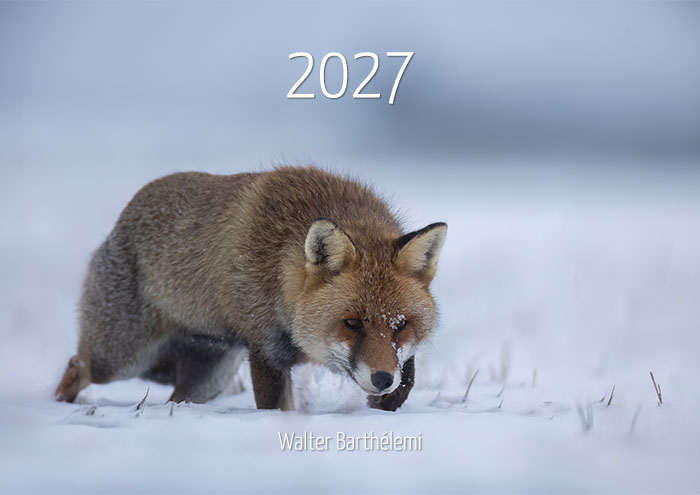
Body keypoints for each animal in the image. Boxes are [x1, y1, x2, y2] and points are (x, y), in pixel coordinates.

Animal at [55, 166, 446, 411]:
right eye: (351, 323)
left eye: (401, 325)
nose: (381, 379)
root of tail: (122, 218)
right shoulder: (265, 350)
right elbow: (277, 409)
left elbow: (408, 375)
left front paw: (388, 401)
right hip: (119, 360)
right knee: (76, 366)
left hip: (208, 380)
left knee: (176, 400)